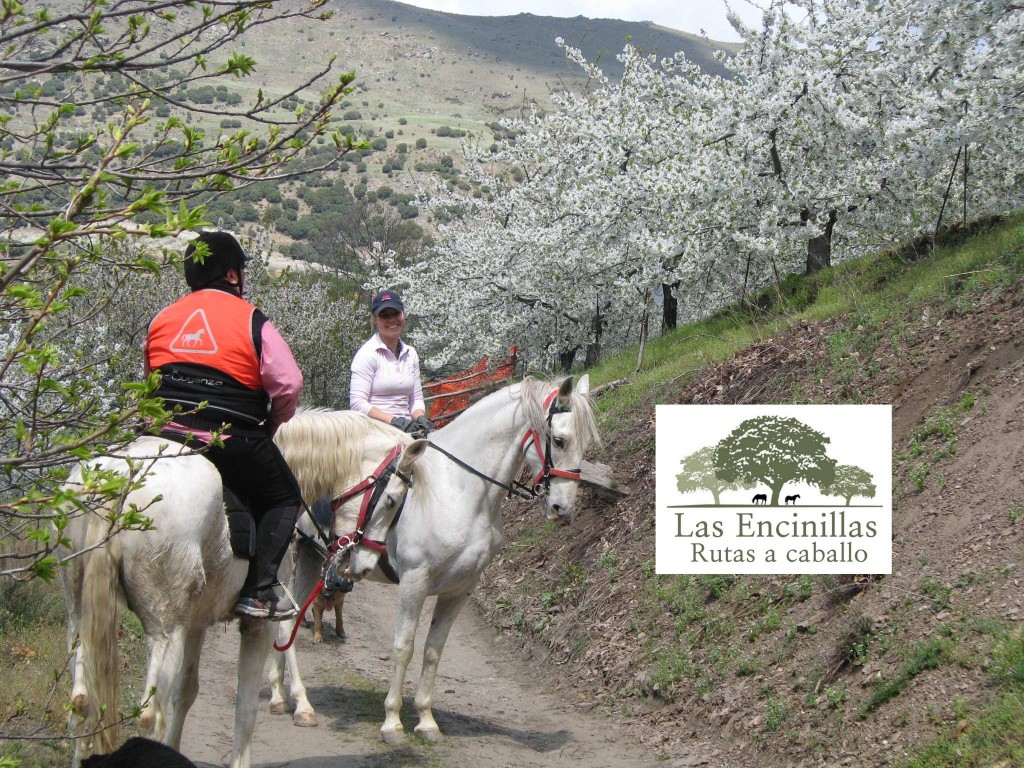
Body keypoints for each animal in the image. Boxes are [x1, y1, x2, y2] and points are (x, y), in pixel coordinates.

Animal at [58, 421, 425, 768]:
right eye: (392, 501)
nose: (364, 565)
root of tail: (117, 479)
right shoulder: (259, 623)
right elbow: (246, 708)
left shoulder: (196, 622)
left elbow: (186, 692)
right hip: (165, 630)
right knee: (150, 718)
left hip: (81, 618)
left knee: (81, 704)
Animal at [335, 376, 598, 749]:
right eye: (559, 440)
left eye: (586, 442)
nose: (563, 510)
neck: (459, 489)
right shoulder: (414, 581)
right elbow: (403, 647)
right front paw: (392, 723)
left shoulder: (459, 589)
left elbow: (433, 650)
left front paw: (426, 721)